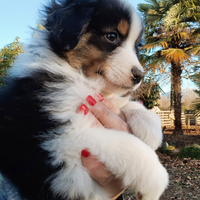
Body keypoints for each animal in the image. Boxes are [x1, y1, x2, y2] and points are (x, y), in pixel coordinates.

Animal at [0, 0, 169, 200]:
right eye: (112, 36)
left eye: (137, 46)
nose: (139, 76)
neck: (77, 76)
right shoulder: (61, 140)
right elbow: (128, 145)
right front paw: (155, 183)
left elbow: (125, 105)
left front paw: (150, 127)